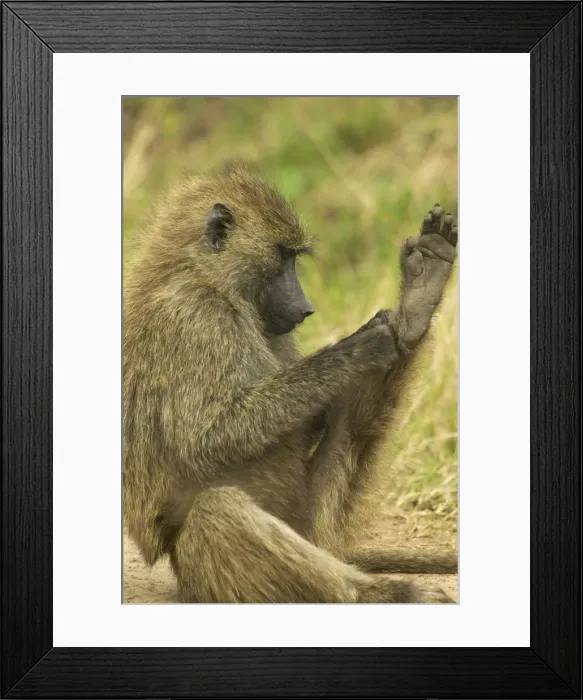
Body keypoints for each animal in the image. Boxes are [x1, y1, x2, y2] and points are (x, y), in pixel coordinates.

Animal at [123, 164, 458, 603]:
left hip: (312, 528)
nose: (305, 309)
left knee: (350, 434)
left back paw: (417, 307)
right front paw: (359, 346)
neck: (206, 278)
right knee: (217, 511)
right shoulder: (194, 317)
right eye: (283, 256)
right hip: (207, 576)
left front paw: (401, 320)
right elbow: (207, 436)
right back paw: (385, 594)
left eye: (295, 258)